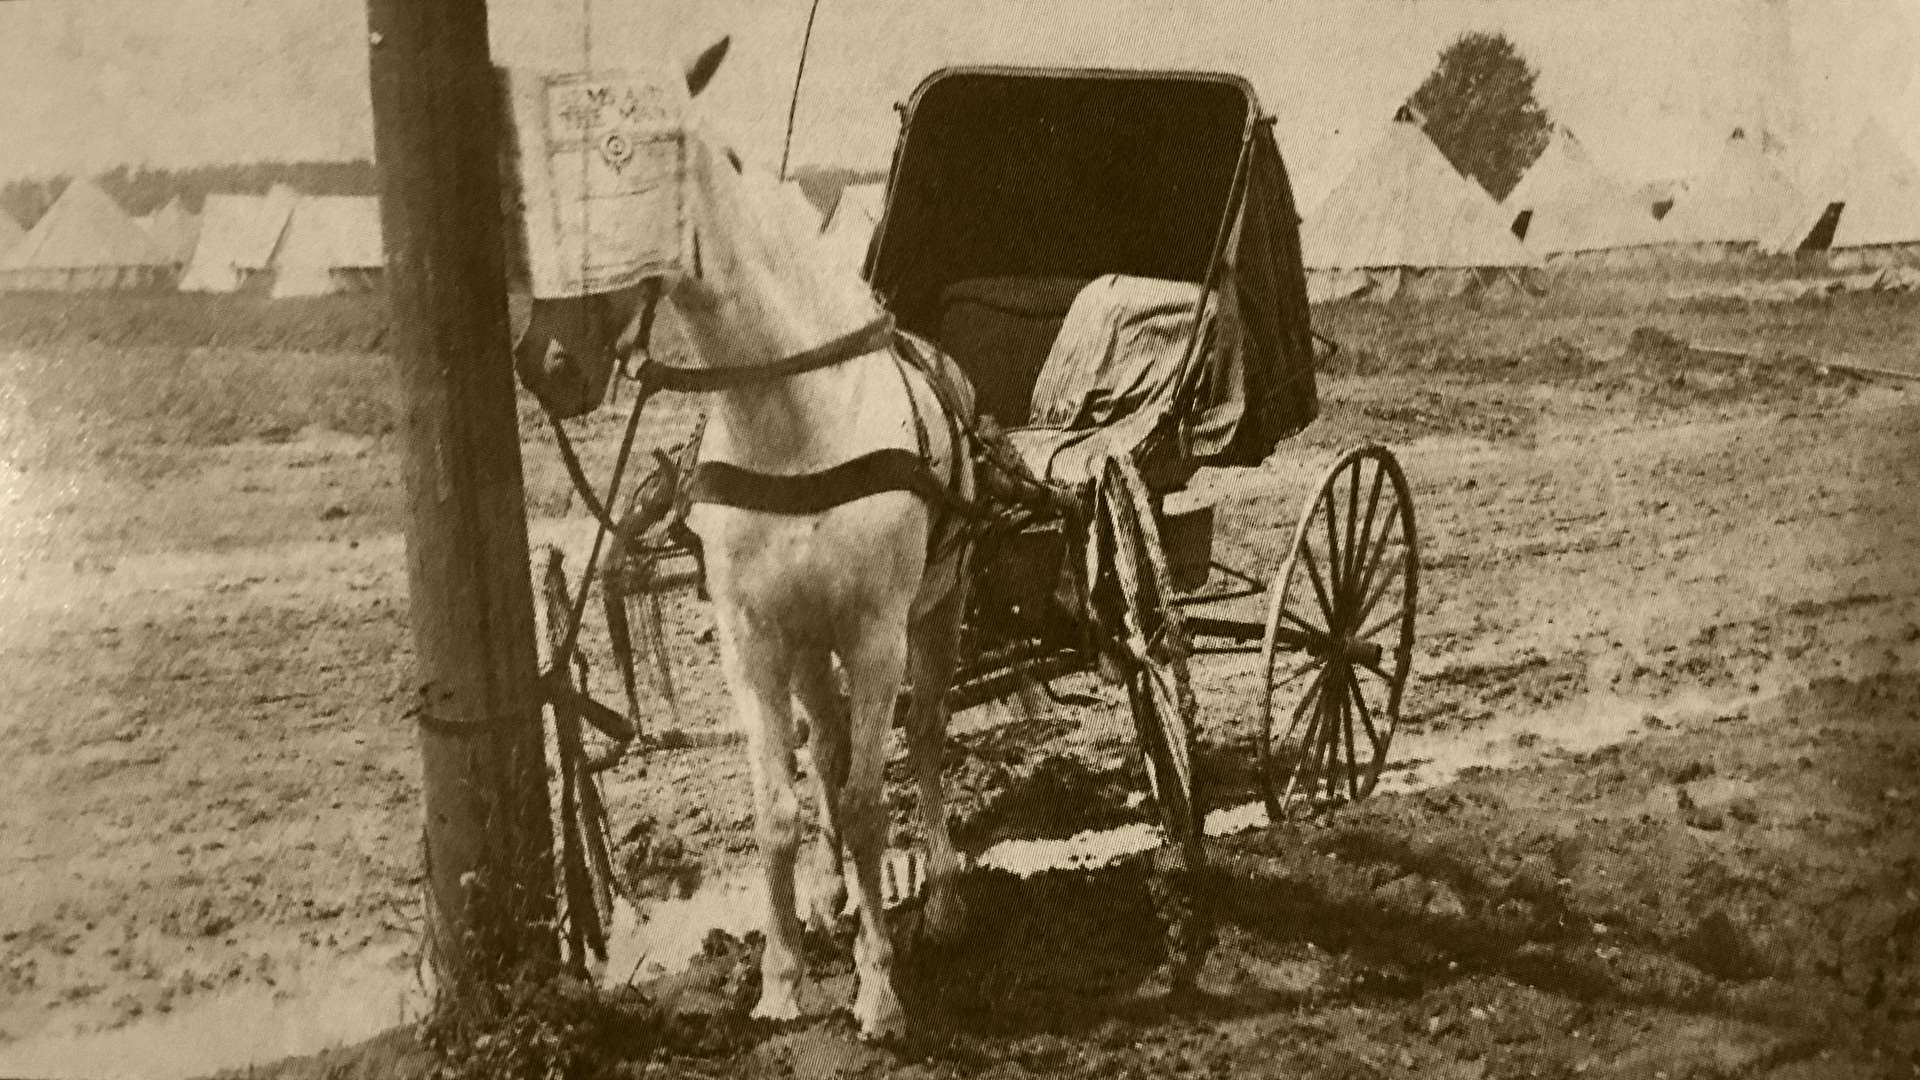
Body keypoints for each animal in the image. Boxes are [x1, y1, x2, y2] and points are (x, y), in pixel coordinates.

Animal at [614, 42, 975, 1037]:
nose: (546, 357)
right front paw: (780, 980)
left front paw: (879, 989)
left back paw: (940, 896)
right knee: (826, 748)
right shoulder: (754, 642)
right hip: (811, 649)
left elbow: (868, 801)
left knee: (925, 734)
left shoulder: (878, 635)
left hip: (937, 613)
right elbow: (781, 805)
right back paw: (830, 895)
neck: (792, 415)